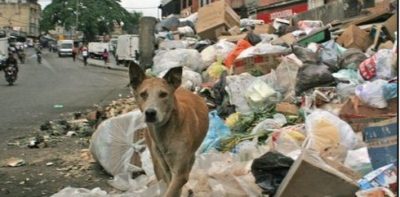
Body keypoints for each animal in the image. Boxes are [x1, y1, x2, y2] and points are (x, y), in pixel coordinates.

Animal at [130, 62, 209, 195]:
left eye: (163, 94)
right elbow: (170, 186)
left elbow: (176, 186)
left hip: (190, 157)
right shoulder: (166, 167)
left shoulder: (181, 172)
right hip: (156, 159)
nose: (150, 113)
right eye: (143, 94)